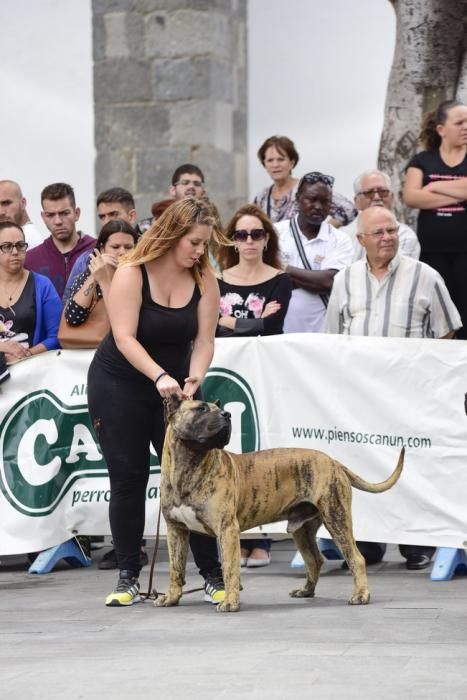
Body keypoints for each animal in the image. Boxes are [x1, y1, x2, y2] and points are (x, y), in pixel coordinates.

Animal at [155, 400, 404, 612]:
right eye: (201, 409)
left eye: (218, 409)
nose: (227, 415)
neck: (188, 466)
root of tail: (334, 461)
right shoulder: (176, 531)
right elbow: (175, 568)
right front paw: (171, 597)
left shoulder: (227, 530)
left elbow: (230, 568)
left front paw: (230, 602)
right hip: (303, 530)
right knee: (315, 560)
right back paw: (306, 591)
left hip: (337, 518)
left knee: (356, 558)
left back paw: (361, 595)